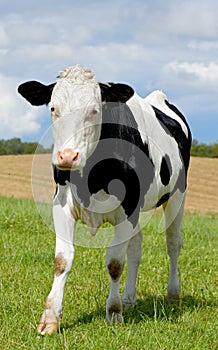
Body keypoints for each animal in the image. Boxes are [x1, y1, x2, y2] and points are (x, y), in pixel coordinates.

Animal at [17, 64, 192, 334]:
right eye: (53, 108)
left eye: (94, 110)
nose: (67, 156)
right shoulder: (62, 205)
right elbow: (62, 260)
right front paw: (50, 319)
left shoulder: (128, 209)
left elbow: (115, 263)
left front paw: (114, 313)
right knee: (136, 248)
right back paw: (129, 298)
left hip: (176, 197)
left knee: (173, 243)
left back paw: (173, 296)